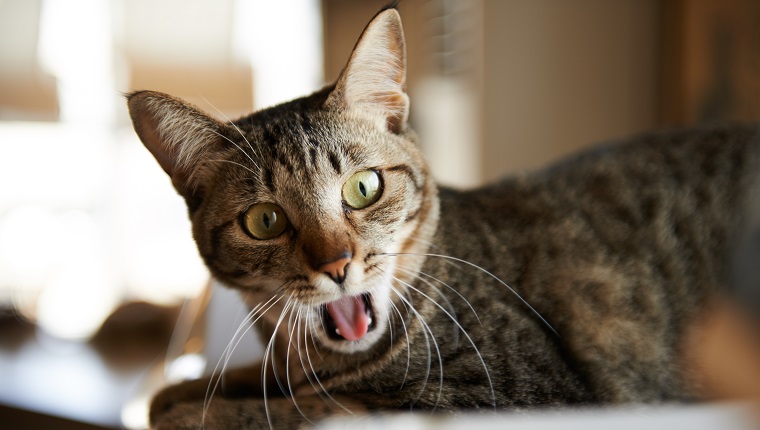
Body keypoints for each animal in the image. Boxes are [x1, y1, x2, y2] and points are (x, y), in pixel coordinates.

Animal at [126, 4, 760, 430]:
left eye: (363, 188)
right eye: (265, 221)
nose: (337, 264)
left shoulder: (517, 395)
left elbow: (307, 409)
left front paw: (198, 411)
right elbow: (229, 385)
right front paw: (184, 391)